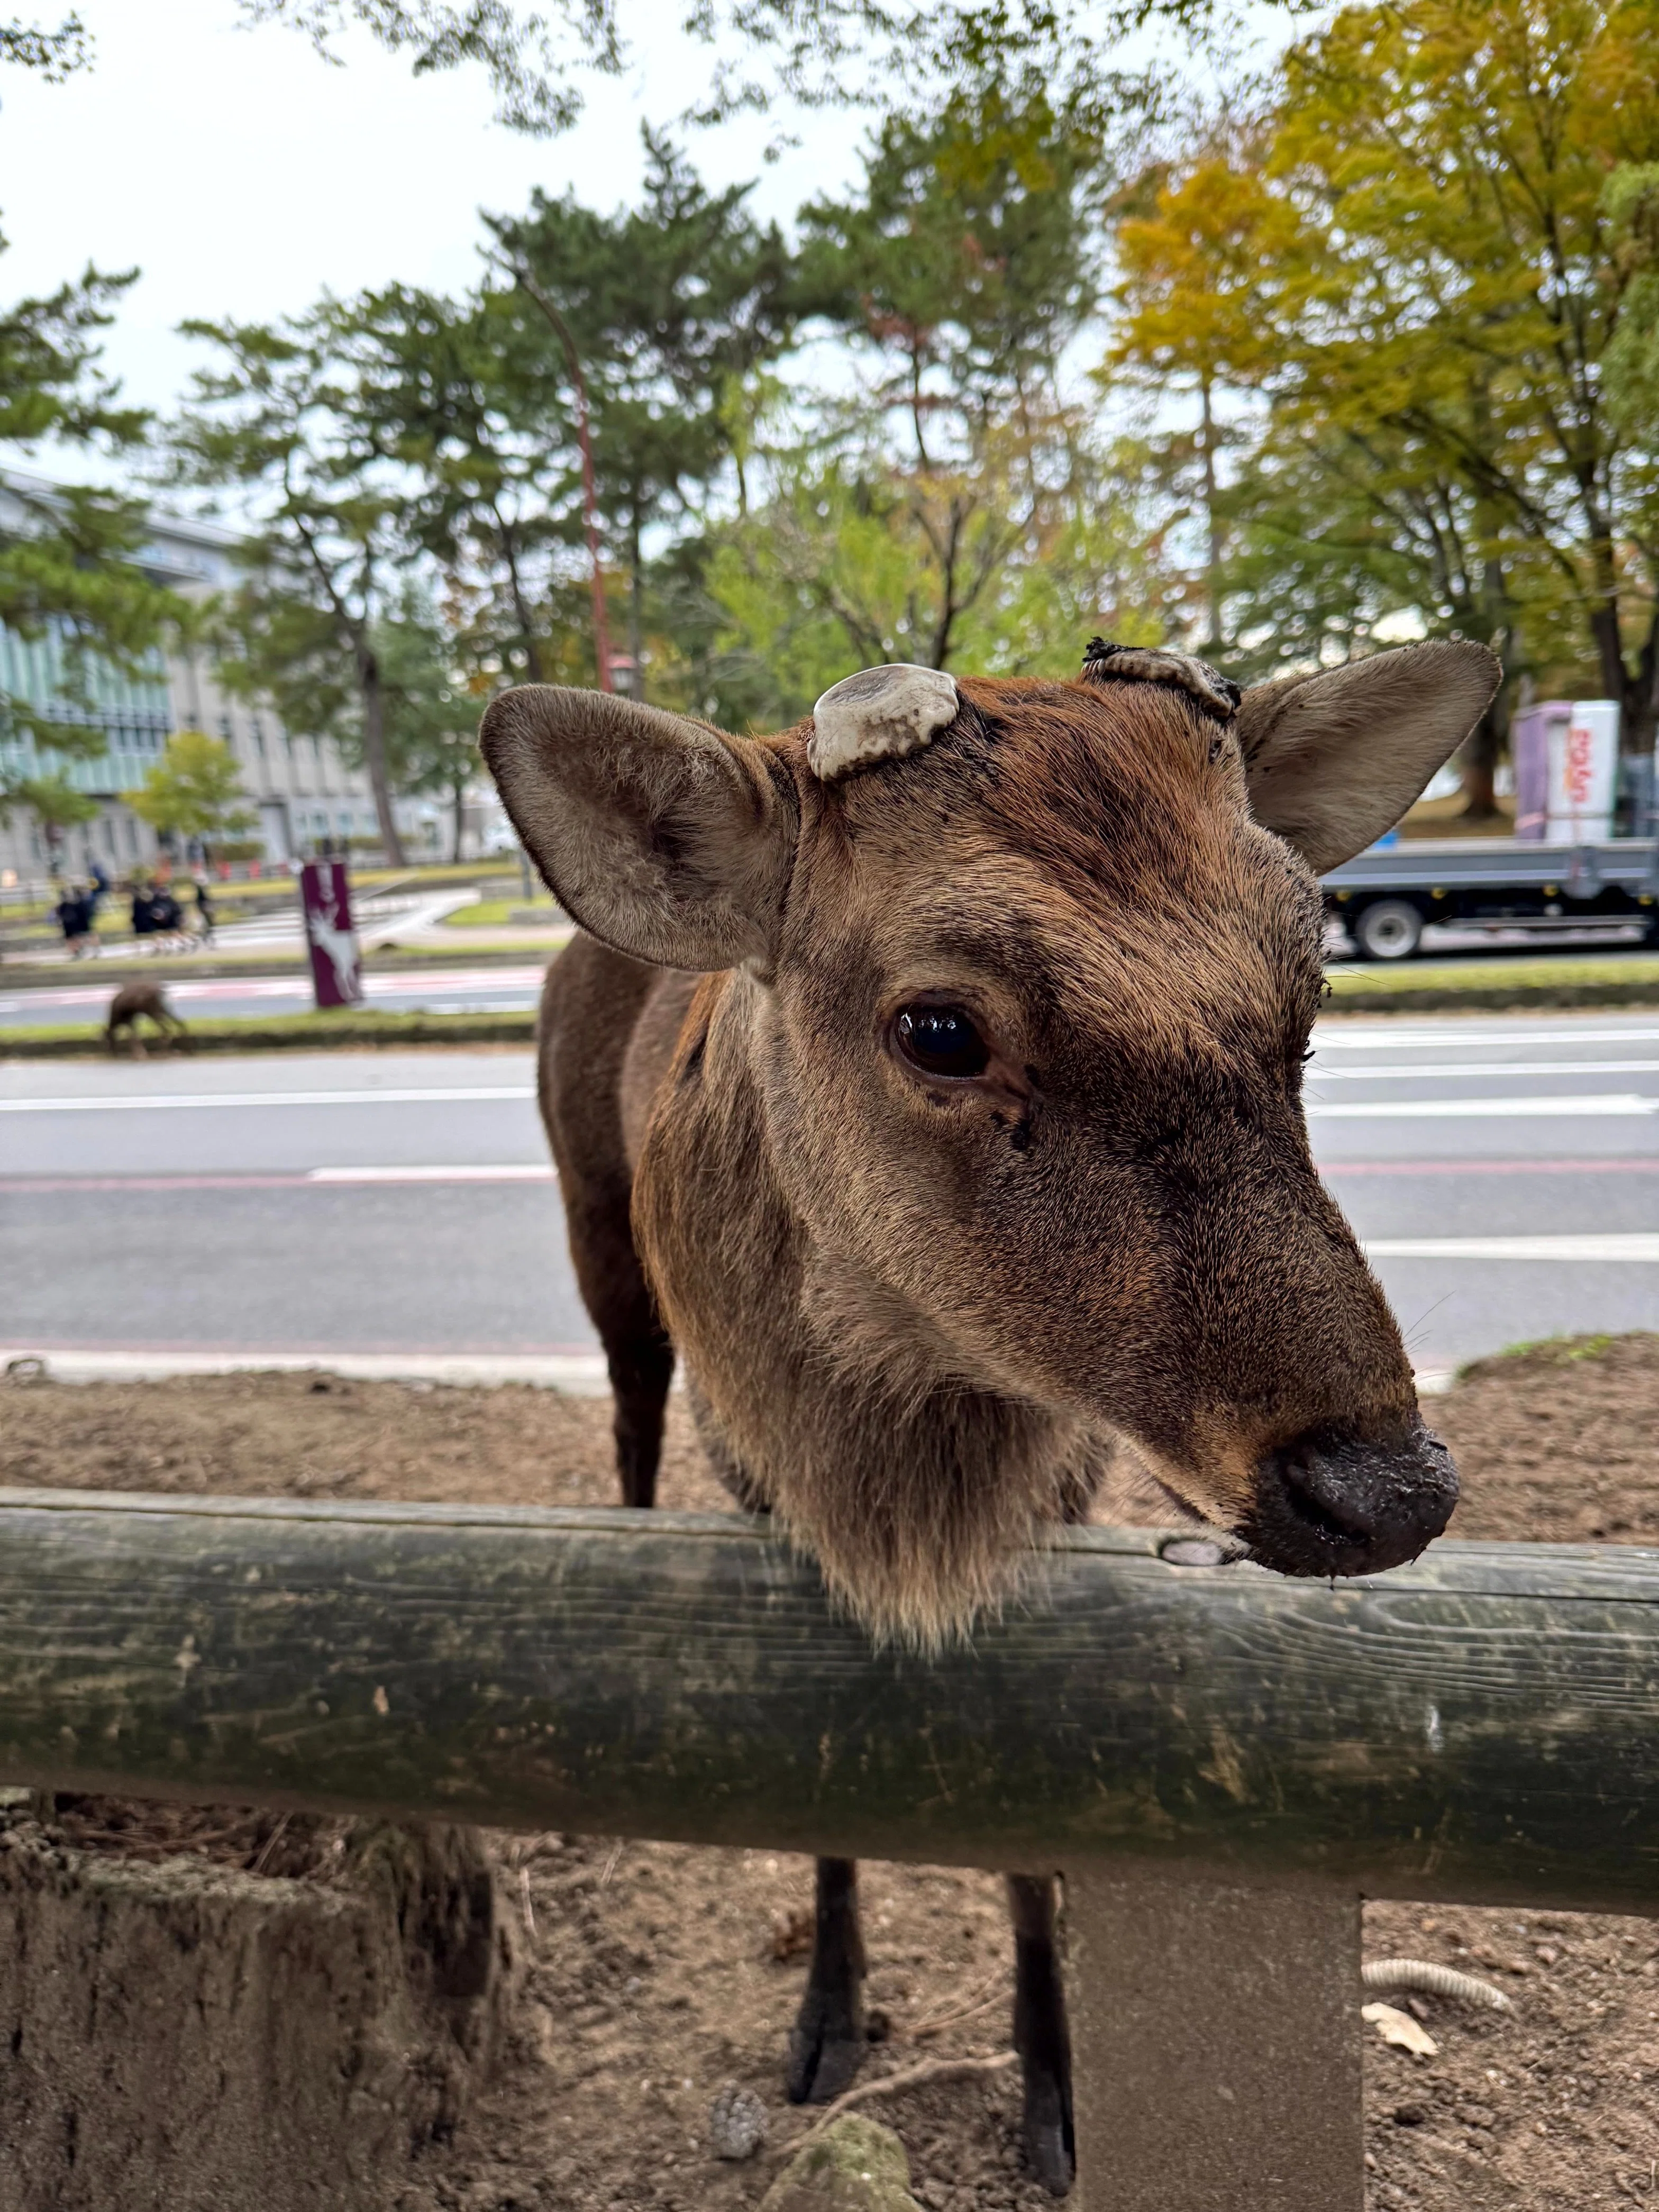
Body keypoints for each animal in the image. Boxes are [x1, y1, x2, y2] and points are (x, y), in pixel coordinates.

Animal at [479, 635, 1498, 2196]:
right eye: (941, 1026)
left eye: (1309, 1002)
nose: (1386, 1485)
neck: (897, 1480)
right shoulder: (761, 1481)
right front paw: (825, 2021)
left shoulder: (1061, 1497)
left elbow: (1033, 1840)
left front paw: (1057, 2096)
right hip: (595, 1225)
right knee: (626, 1408)